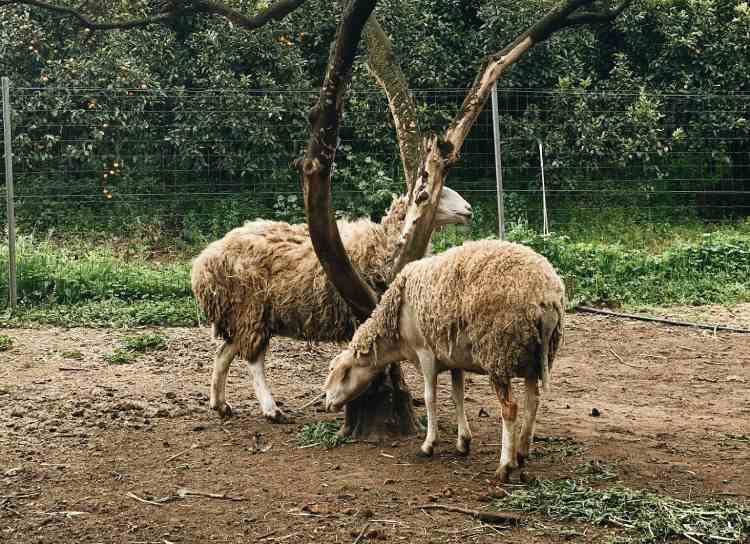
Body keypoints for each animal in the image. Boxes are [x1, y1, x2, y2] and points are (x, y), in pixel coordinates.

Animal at [191, 185, 472, 422]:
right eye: (439, 195)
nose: (469, 210)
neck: (386, 242)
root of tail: (204, 261)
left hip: (241, 315)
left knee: (223, 354)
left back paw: (220, 404)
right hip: (251, 309)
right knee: (253, 362)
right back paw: (271, 410)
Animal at [324, 240, 564, 482]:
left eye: (338, 372)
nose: (327, 404)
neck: (395, 331)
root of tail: (547, 296)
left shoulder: (425, 353)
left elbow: (430, 398)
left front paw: (428, 445)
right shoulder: (454, 358)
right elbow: (458, 396)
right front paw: (463, 442)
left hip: (499, 353)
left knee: (510, 408)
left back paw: (505, 465)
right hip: (535, 357)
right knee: (533, 401)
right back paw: (522, 452)